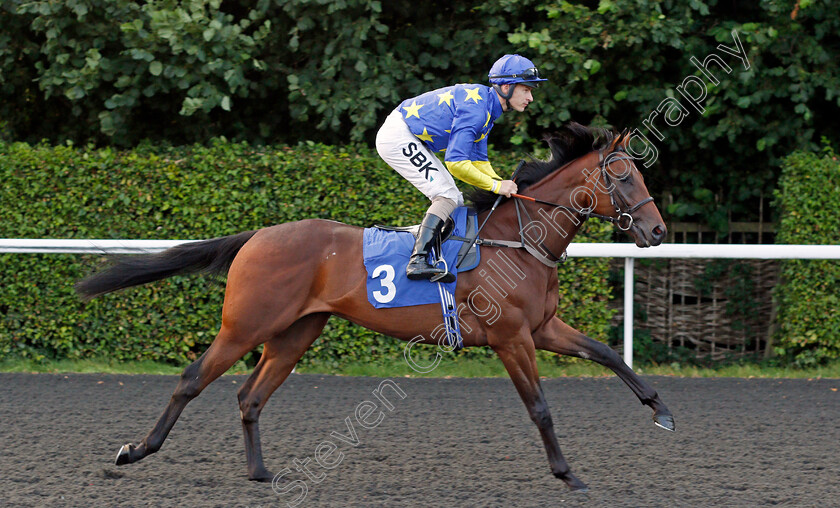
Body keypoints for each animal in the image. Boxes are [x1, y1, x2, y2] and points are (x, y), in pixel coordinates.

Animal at [75, 122, 672, 492]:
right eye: (623, 175)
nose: (658, 232)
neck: (518, 239)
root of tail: (258, 235)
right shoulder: (512, 338)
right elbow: (541, 408)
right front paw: (568, 473)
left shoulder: (543, 327)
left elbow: (606, 354)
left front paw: (660, 409)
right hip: (246, 324)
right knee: (192, 379)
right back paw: (135, 450)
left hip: (297, 331)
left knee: (250, 395)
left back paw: (262, 473)